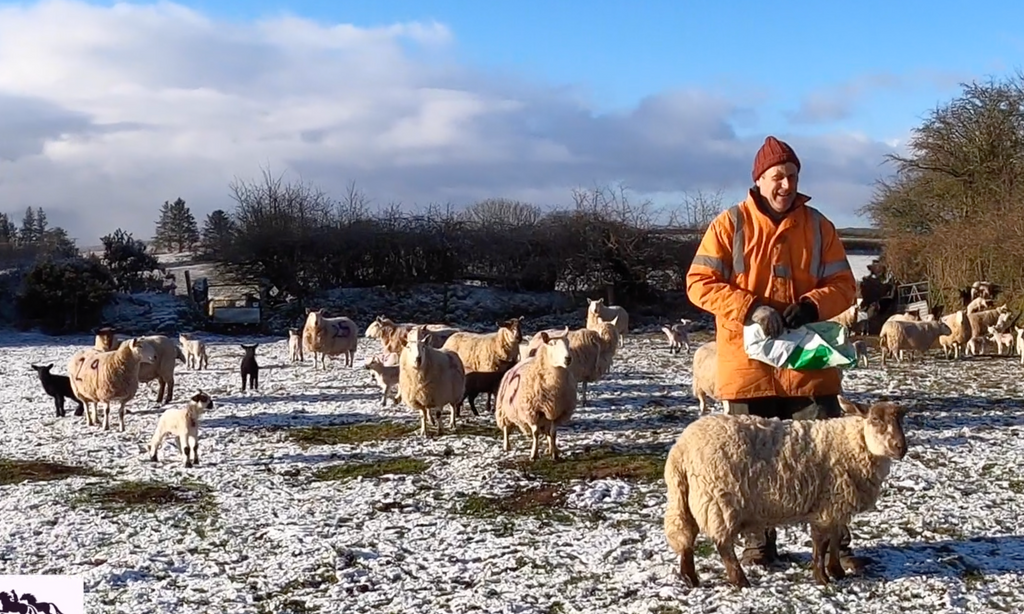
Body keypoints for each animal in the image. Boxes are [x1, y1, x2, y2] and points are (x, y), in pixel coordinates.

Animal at [495, 332, 577, 461]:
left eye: (568, 343)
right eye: (552, 344)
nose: (568, 359)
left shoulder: (557, 412)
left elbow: (553, 433)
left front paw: (555, 454)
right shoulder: (532, 411)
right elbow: (536, 433)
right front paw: (534, 454)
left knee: (548, 432)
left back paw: (550, 449)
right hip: (503, 411)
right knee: (506, 429)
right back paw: (506, 446)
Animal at [663, 396, 908, 588]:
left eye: (900, 421)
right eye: (875, 420)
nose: (901, 448)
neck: (850, 443)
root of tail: (680, 450)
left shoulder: (837, 507)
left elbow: (835, 539)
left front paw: (837, 571)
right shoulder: (826, 505)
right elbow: (821, 543)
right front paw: (822, 578)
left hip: (688, 496)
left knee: (686, 534)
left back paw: (690, 578)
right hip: (719, 498)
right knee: (723, 545)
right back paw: (740, 581)